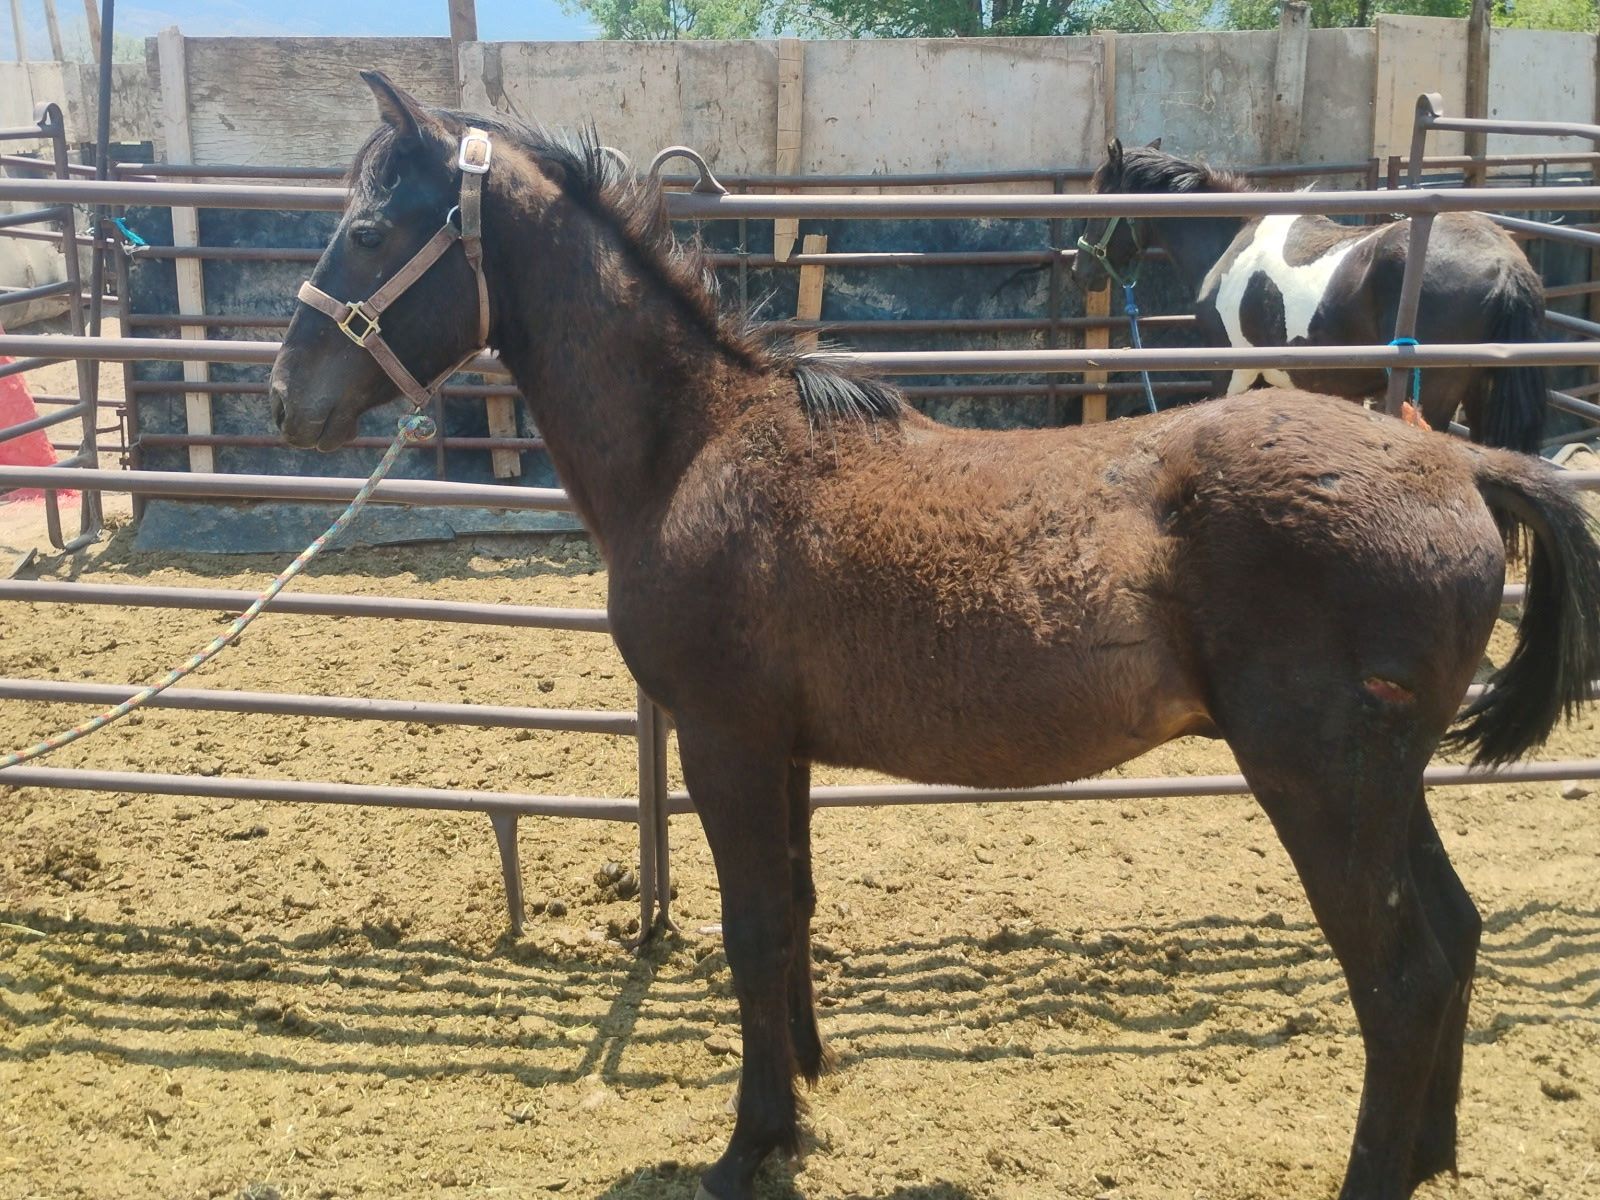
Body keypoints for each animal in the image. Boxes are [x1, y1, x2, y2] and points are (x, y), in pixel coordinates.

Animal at [1072, 139, 1549, 452]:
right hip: (1482, 394)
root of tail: (1507, 266)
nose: (1081, 269)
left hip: (1434, 396)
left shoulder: (1234, 373)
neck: (1232, 237)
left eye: (1098, 197)